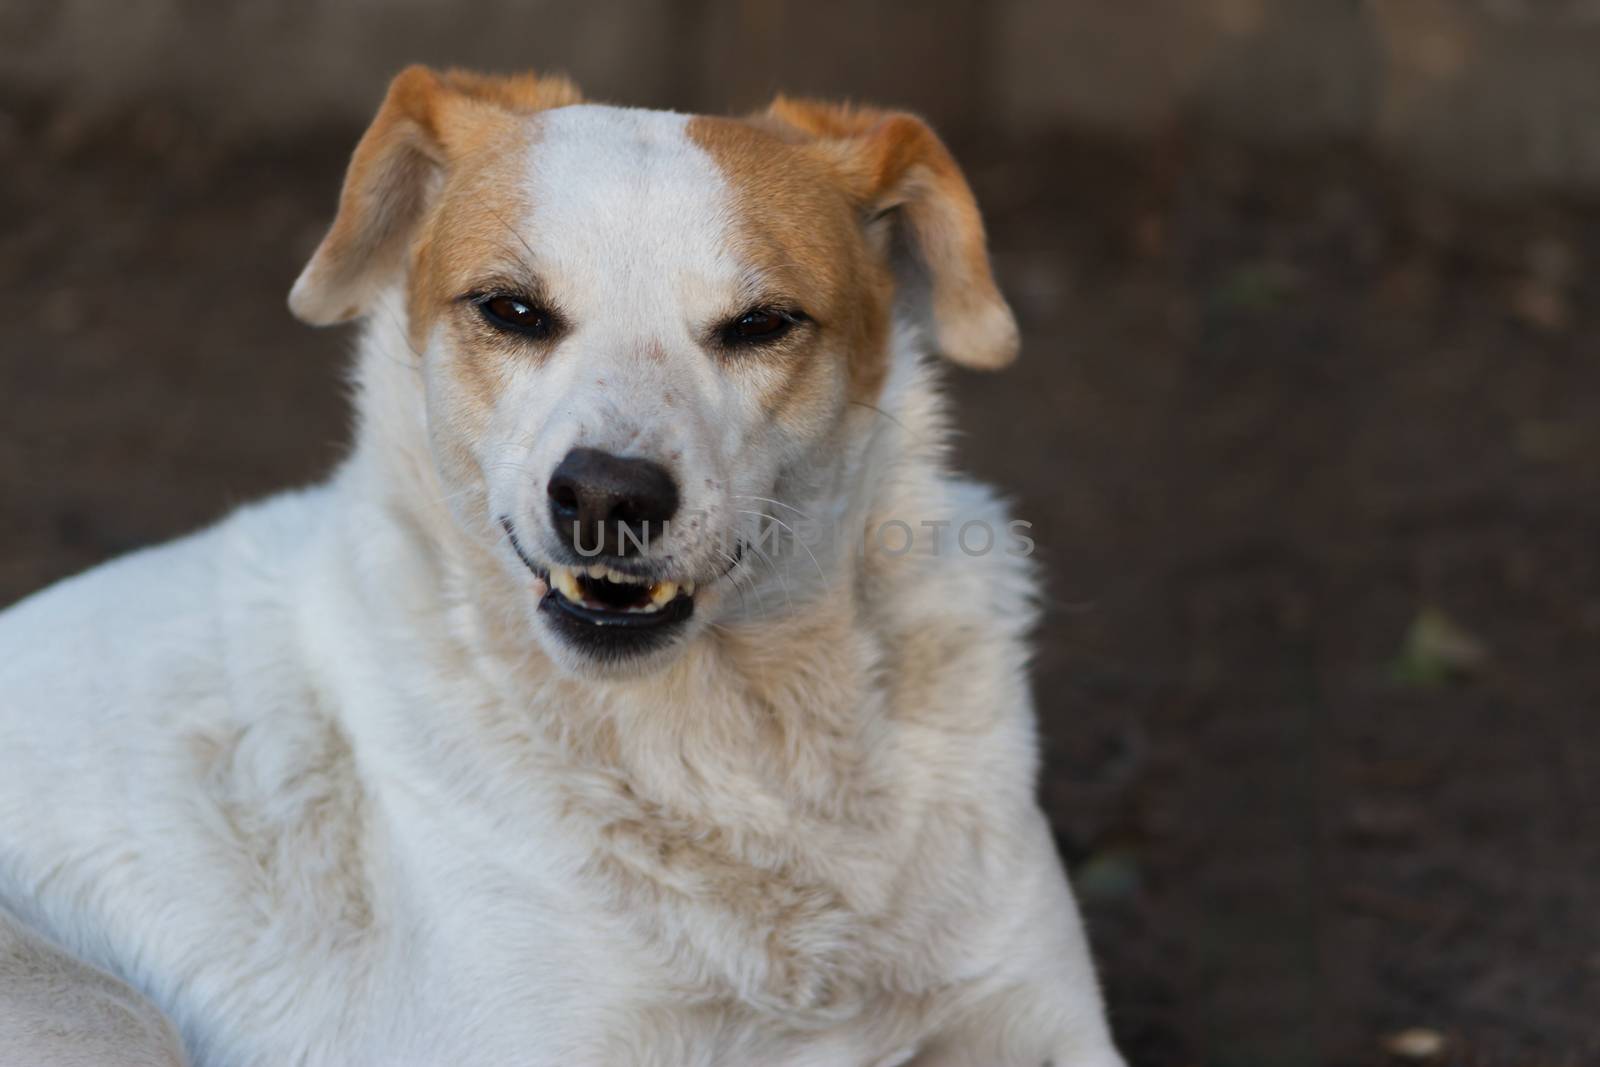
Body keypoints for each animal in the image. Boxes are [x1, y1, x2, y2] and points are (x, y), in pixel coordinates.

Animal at [0, 68, 1126, 1067]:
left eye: (762, 324)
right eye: (511, 310)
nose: (607, 498)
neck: (741, 741)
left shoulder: (1044, 1020)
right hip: (109, 1015)